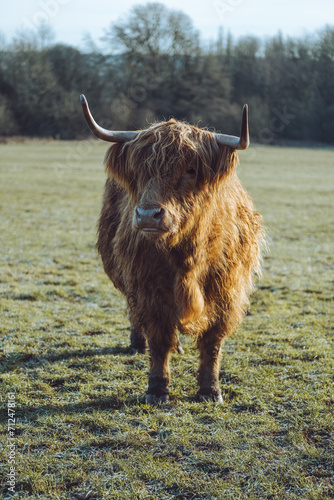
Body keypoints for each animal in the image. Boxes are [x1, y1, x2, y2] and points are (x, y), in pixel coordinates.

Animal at [80, 95, 264, 404]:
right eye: (139, 171)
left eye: (190, 170)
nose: (147, 215)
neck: (187, 257)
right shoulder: (148, 288)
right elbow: (158, 339)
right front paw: (157, 389)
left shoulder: (227, 291)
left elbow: (212, 343)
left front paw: (210, 389)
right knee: (136, 315)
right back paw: (137, 343)